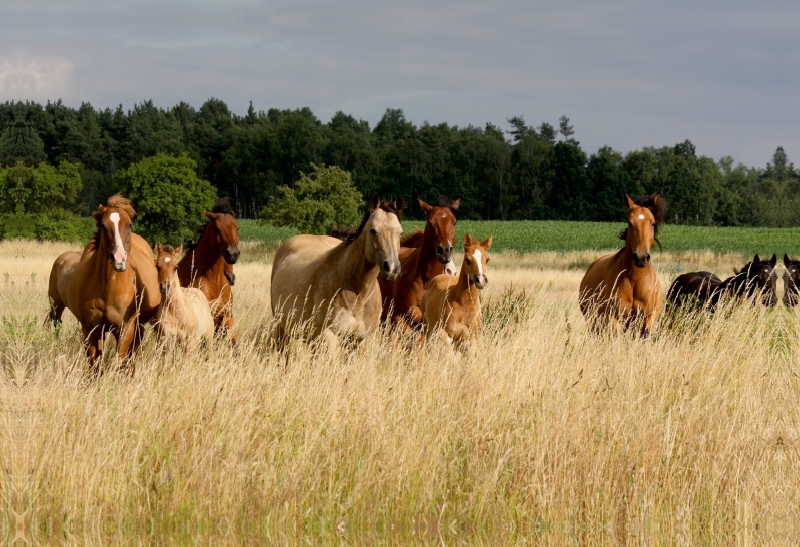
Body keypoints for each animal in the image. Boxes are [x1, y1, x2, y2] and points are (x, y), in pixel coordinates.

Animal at [47, 195, 161, 374]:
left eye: (129, 224)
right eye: (103, 225)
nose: (119, 259)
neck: (108, 288)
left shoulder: (125, 328)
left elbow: (119, 360)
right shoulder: (91, 329)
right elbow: (94, 364)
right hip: (56, 308)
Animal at [270, 194, 406, 346]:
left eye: (400, 233)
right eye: (373, 231)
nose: (392, 268)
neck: (358, 296)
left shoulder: (363, 340)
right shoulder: (330, 336)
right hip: (281, 326)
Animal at [580, 195, 664, 336]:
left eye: (652, 223)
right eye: (629, 222)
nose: (641, 257)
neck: (635, 279)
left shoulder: (648, 319)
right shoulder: (613, 319)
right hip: (594, 324)